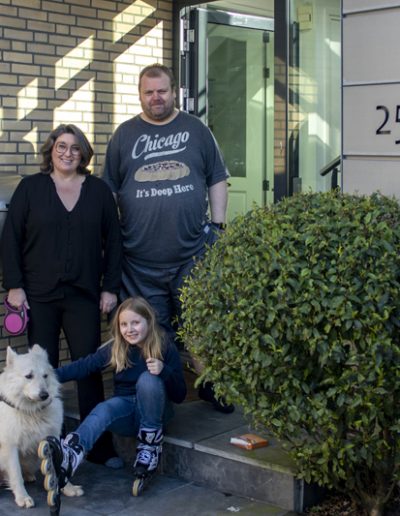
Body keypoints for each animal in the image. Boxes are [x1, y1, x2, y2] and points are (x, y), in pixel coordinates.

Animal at [0, 346, 83, 508]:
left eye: (45, 376)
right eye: (28, 376)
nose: (45, 395)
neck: (31, 411)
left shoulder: (52, 442)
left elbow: (59, 468)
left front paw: (68, 488)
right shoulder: (10, 446)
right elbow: (16, 474)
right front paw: (23, 497)